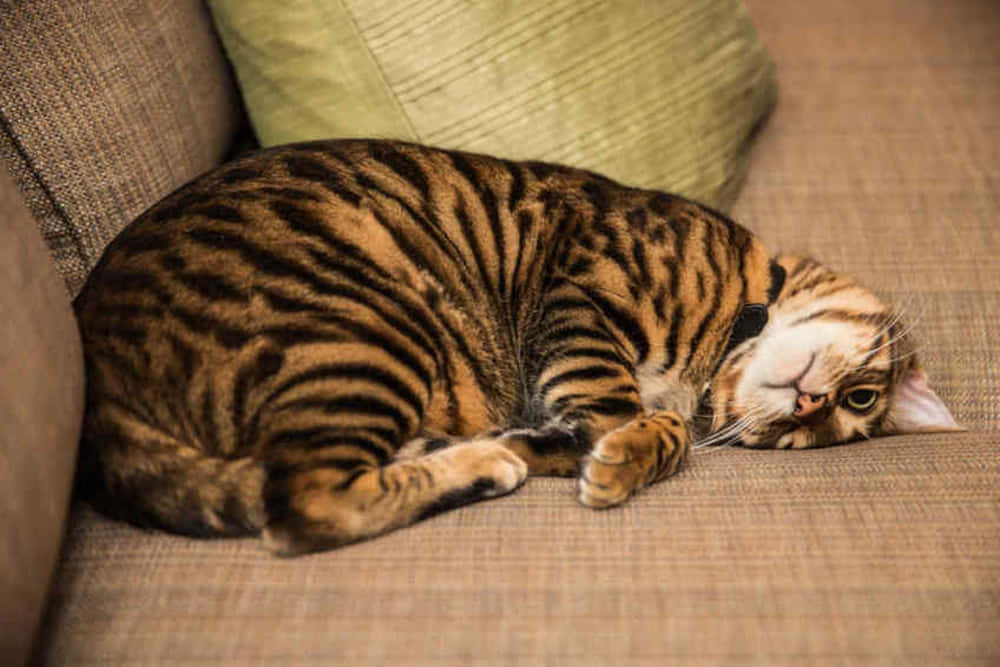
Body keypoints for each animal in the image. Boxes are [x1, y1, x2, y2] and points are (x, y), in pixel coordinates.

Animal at [73, 139, 960, 555]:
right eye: (859, 397)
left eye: (816, 431)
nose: (809, 403)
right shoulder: (583, 288)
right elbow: (630, 415)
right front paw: (627, 450)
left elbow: (594, 430)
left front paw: (594, 451)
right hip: (364, 326)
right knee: (305, 505)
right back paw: (477, 462)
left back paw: (473, 456)